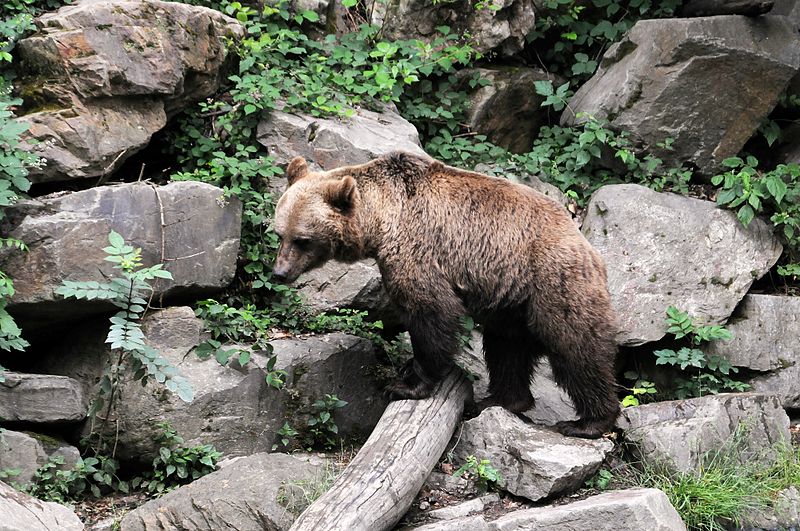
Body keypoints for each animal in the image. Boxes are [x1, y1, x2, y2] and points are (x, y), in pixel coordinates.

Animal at [274, 152, 620, 438]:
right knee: (506, 349)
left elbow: (431, 312)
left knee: (576, 348)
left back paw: (589, 421)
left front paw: (406, 384)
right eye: (279, 234)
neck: (381, 220)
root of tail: (589, 247)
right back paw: (502, 399)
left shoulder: (418, 249)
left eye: (303, 239)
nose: (280, 272)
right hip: (511, 302)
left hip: (553, 284)